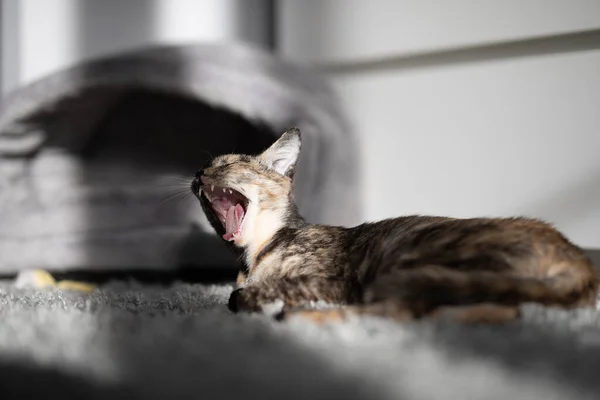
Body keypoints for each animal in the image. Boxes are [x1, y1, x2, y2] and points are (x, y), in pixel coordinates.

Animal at [192, 128, 600, 324]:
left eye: (229, 165)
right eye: (204, 167)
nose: (198, 174)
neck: (254, 256)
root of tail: (580, 260)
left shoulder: (333, 281)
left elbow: (242, 294)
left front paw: (256, 299)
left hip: (411, 264)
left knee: (403, 311)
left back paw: (298, 317)